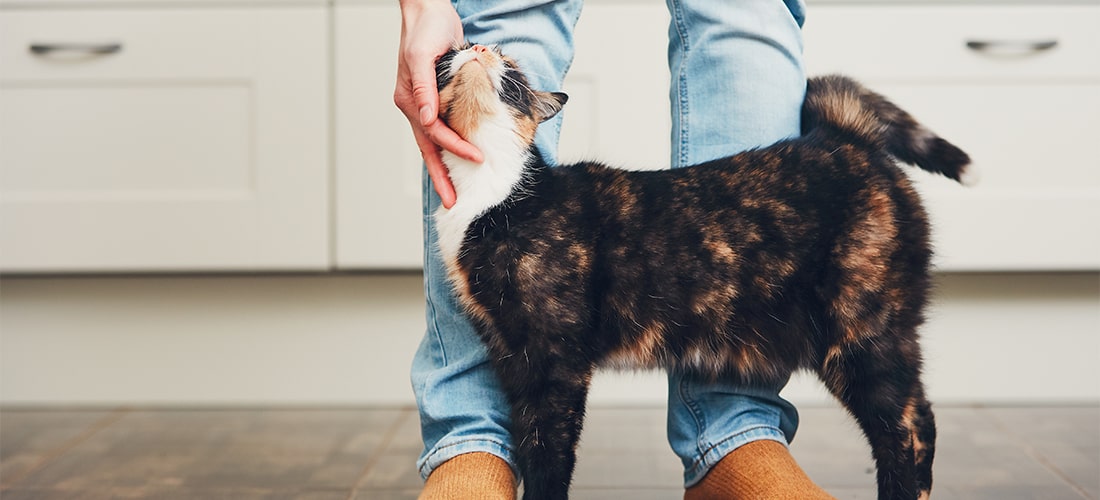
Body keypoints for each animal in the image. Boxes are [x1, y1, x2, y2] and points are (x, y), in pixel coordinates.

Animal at [433, 43, 976, 500]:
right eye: (453, 53)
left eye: (512, 69)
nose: (478, 46)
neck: (493, 193)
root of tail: (842, 137)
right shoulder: (512, 355)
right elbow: (528, 443)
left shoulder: (555, 359)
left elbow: (550, 454)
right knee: (916, 418)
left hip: (862, 332)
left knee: (905, 428)